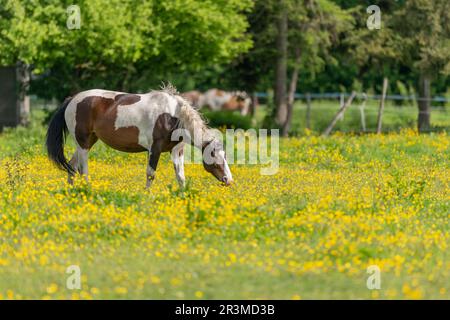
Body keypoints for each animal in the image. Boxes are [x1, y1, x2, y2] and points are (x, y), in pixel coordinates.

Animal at [45, 86, 232, 189]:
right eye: (214, 157)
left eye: (225, 157)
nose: (228, 180)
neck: (172, 115)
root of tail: (72, 99)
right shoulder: (154, 149)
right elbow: (150, 174)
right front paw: (147, 195)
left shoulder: (176, 150)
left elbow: (180, 176)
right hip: (83, 143)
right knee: (82, 170)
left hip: (87, 142)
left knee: (71, 167)